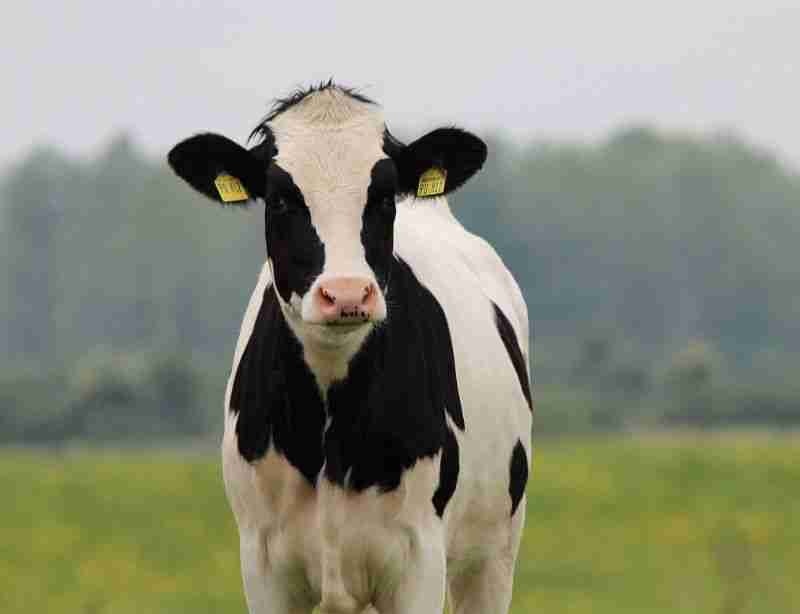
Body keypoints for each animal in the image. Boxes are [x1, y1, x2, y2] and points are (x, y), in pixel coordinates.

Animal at [167, 82, 532, 614]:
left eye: (382, 197)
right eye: (281, 199)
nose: (345, 294)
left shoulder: (419, 560)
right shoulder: (261, 563)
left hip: (493, 554)